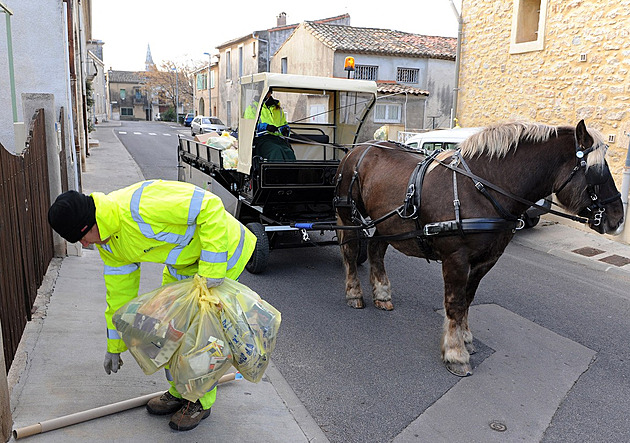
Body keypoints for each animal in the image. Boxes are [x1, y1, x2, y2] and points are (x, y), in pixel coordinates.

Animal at [336, 120, 628, 378]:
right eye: (597, 172)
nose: (618, 219)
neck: (481, 189)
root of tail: (358, 148)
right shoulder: (456, 258)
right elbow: (455, 302)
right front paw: (455, 353)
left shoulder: (486, 260)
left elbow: (468, 298)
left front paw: (465, 338)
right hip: (349, 217)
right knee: (350, 252)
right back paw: (354, 293)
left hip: (384, 223)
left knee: (376, 251)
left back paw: (382, 294)